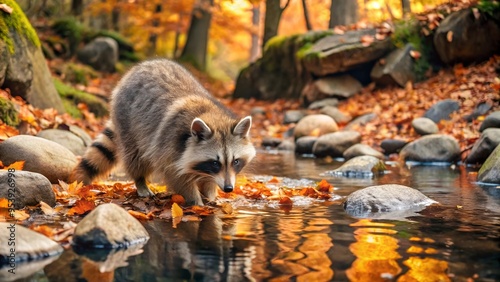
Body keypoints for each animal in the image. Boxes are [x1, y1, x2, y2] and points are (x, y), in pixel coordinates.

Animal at [72, 59, 256, 205]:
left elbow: (208, 180)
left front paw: (210, 195)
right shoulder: (169, 146)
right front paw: (196, 202)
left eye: (236, 161)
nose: (229, 188)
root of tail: (138, 68)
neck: (212, 116)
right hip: (128, 122)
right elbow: (177, 177)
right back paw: (140, 181)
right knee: (135, 156)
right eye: (215, 163)